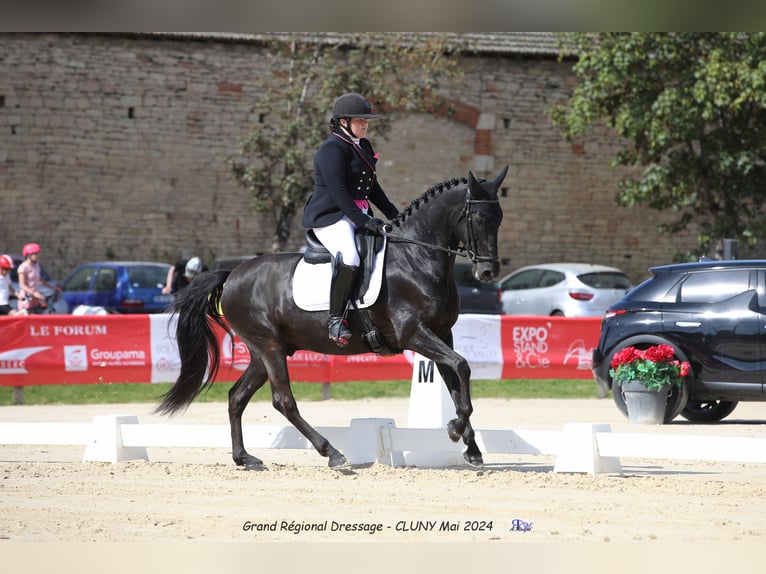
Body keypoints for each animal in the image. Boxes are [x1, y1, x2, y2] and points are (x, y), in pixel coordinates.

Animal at [158, 165, 508, 468]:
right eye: (478, 218)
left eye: (499, 218)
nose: (488, 272)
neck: (417, 257)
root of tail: (232, 274)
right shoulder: (413, 333)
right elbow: (461, 367)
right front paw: (454, 429)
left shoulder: (442, 333)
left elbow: (456, 381)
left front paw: (471, 447)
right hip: (268, 347)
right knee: (283, 401)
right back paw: (332, 452)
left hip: (262, 352)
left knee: (236, 397)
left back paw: (245, 458)